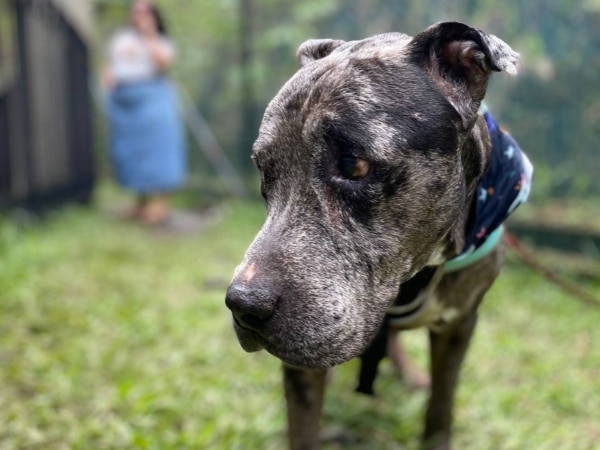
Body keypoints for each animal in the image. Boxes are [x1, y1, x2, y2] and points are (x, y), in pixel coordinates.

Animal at [227, 22, 532, 450]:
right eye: (264, 171)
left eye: (354, 165)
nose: (243, 306)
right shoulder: (301, 365)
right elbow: (303, 429)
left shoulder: (458, 325)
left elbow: (441, 408)